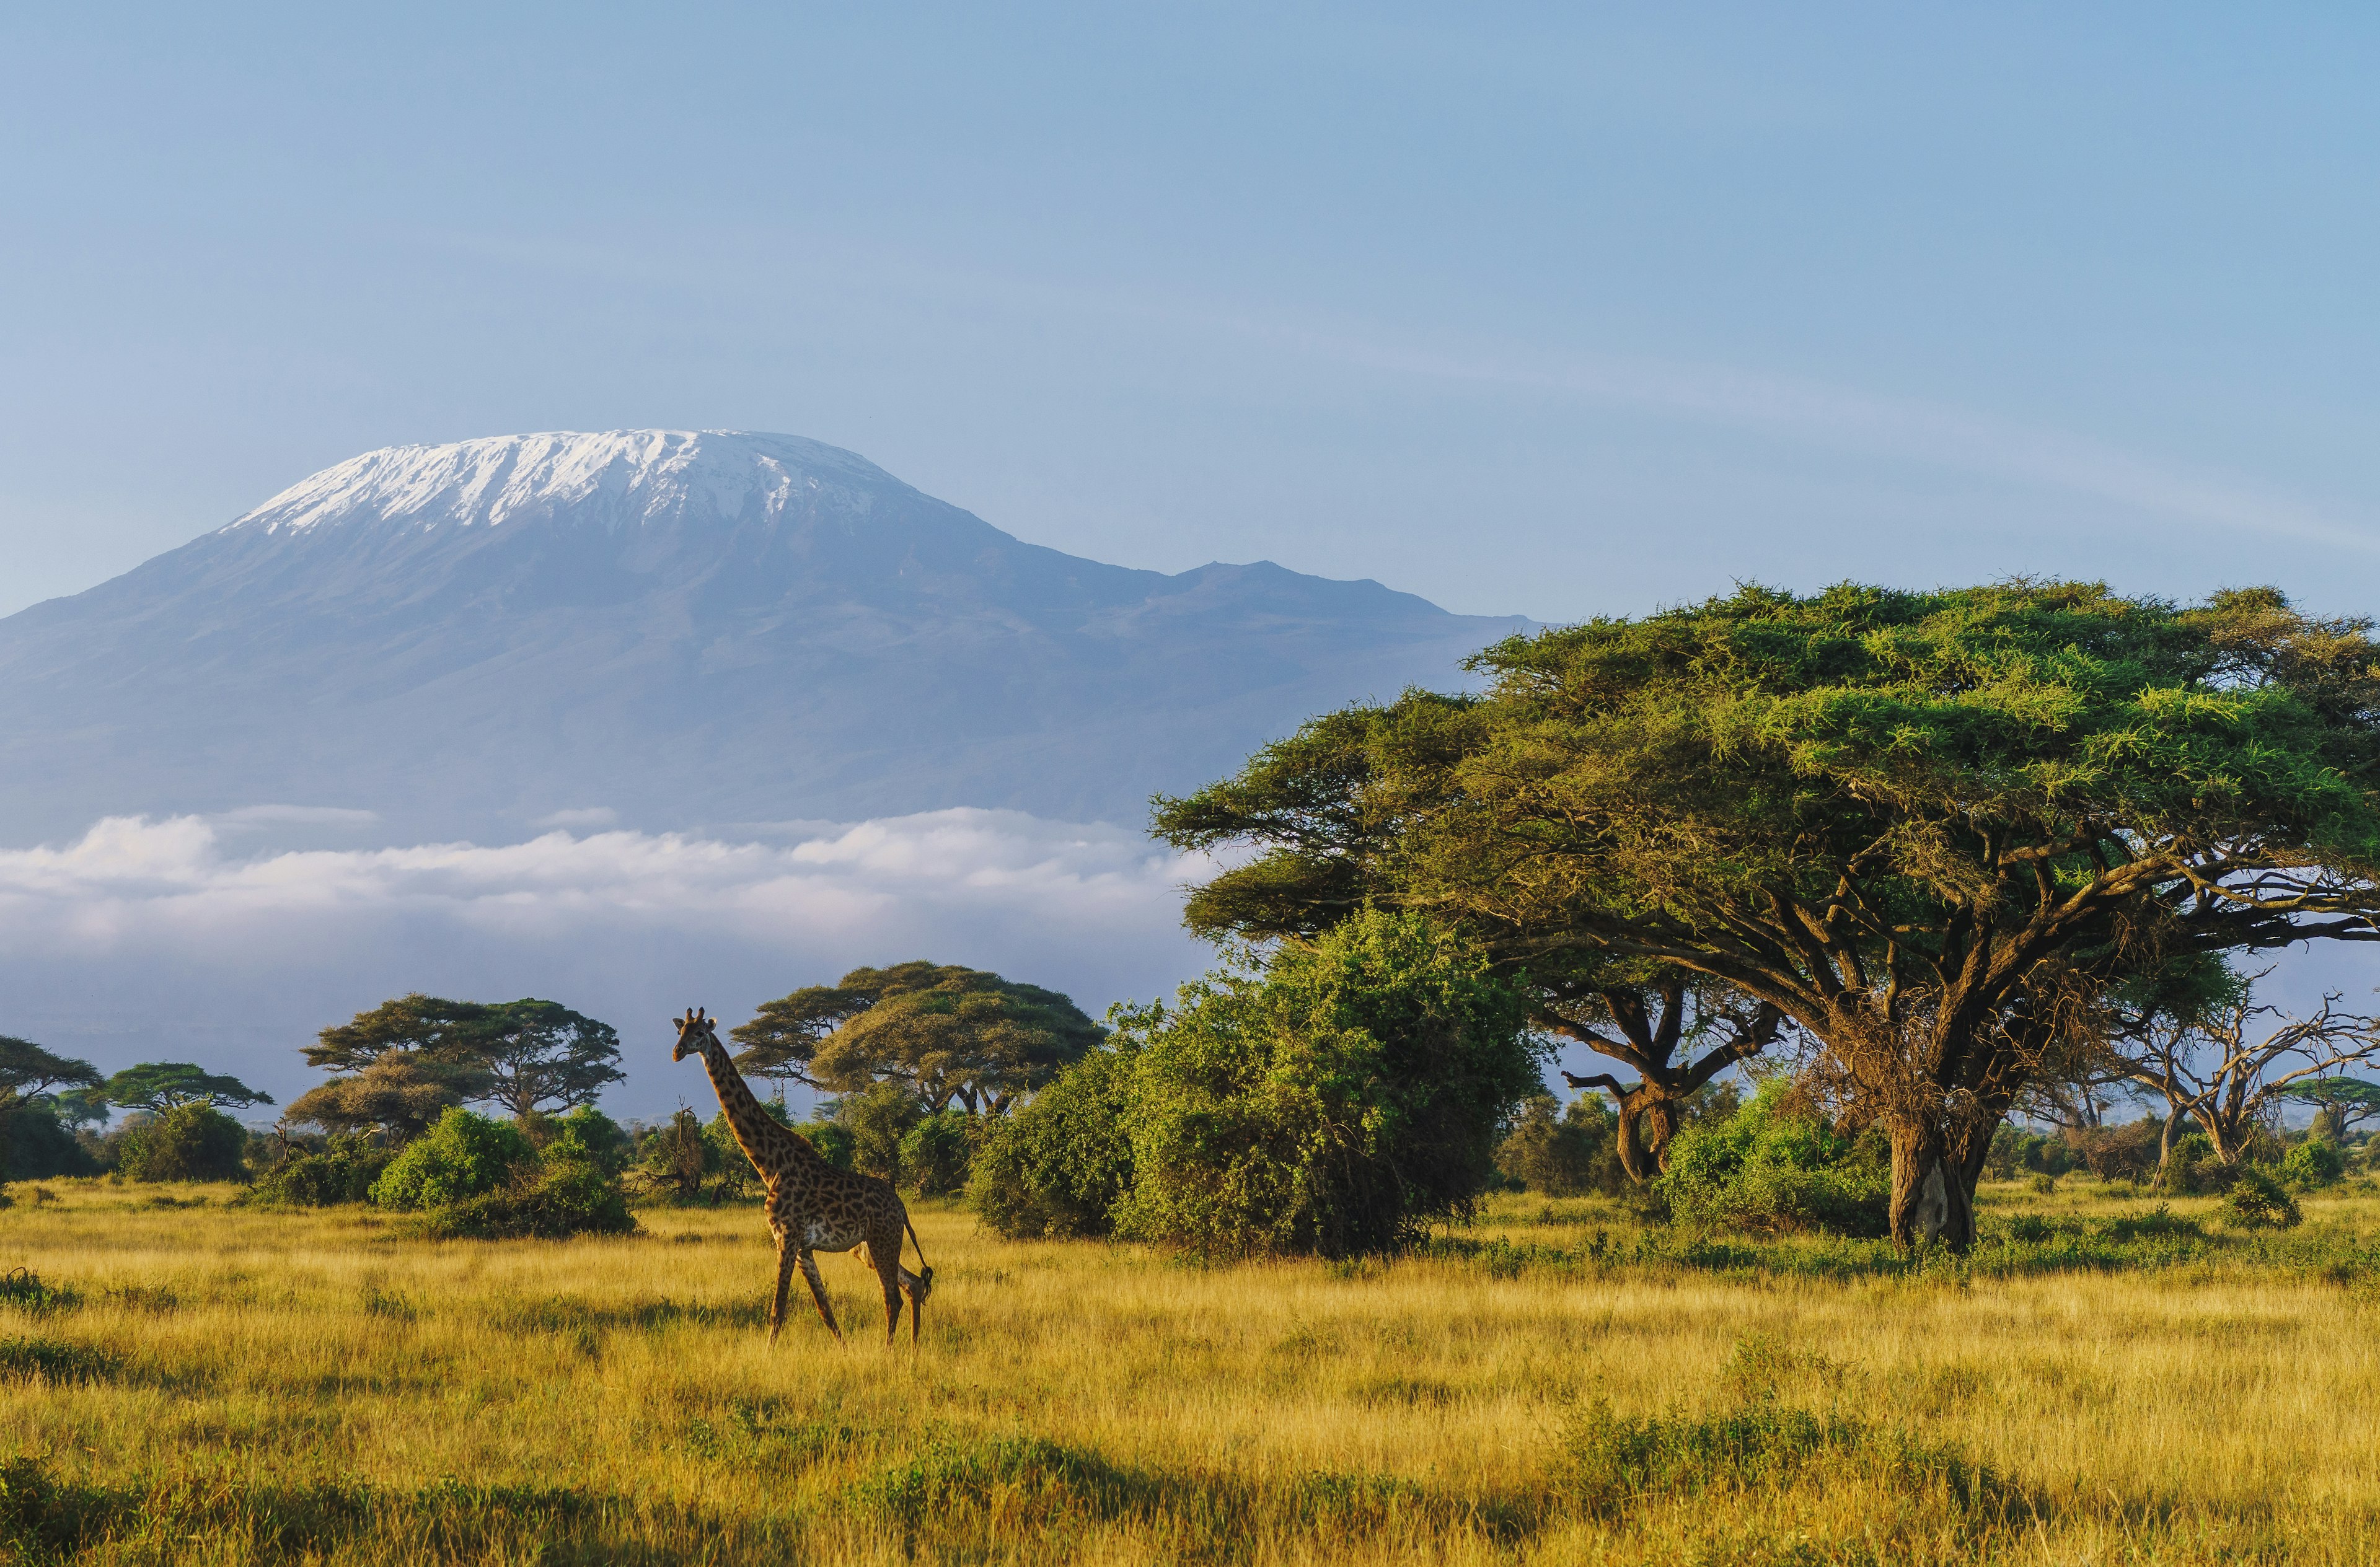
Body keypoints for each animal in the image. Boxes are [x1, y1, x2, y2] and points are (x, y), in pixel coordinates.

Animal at [671, 1017, 937, 1350]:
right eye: (679, 1031)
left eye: (700, 1033)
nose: (677, 1052)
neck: (770, 1164)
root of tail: (900, 1206)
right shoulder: (802, 1248)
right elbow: (825, 1310)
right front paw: (844, 1351)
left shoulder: (786, 1238)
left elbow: (778, 1311)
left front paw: (767, 1357)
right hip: (866, 1247)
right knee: (913, 1283)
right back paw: (913, 1350)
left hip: (882, 1239)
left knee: (892, 1297)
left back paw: (889, 1353)